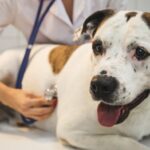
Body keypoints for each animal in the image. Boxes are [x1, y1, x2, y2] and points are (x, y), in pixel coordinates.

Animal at [0, 9, 150, 150]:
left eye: (140, 52)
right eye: (97, 47)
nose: (101, 85)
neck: (139, 110)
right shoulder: (71, 131)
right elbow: (124, 141)